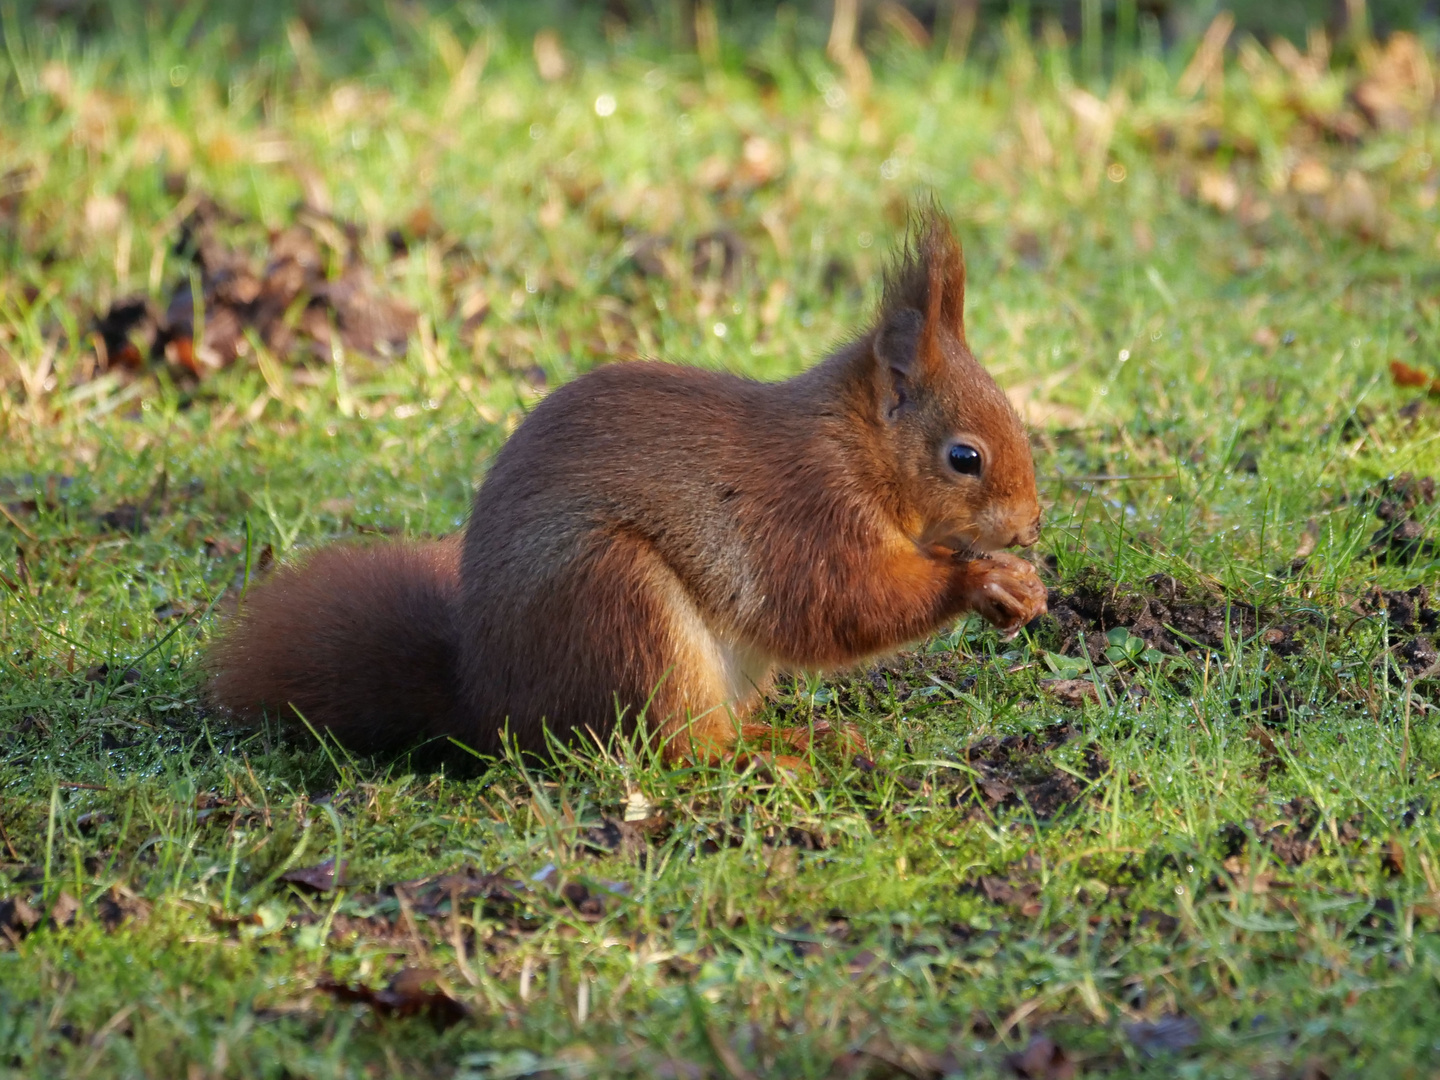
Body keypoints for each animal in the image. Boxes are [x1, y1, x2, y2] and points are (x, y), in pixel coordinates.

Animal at [205, 207, 1048, 771]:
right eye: (964, 457)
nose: (1030, 526)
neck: (857, 450)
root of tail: (490, 707)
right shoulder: (807, 511)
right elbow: (840, 604)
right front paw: (985, 581)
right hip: (621, 604)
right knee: (680, 748)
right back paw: (777, 757)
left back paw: (800, 737)